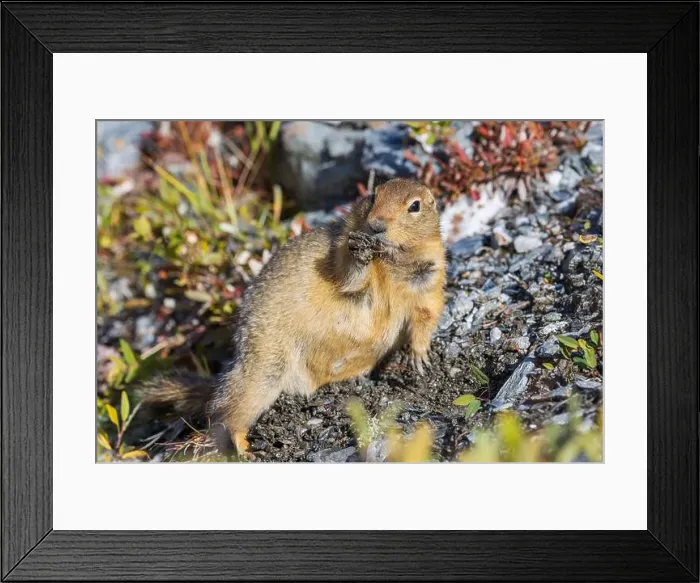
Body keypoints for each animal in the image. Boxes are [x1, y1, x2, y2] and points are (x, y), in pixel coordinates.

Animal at [142, 178, 446, 460]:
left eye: (415, 206)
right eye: (373, 196)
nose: (376, 226)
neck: (390, 259)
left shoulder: (431, 273)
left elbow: (427, 314)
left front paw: (419, 358)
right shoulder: (341, 248)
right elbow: (349, 276)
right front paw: (360, 252)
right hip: (265, 367)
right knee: (225, 412)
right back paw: (244, 447)